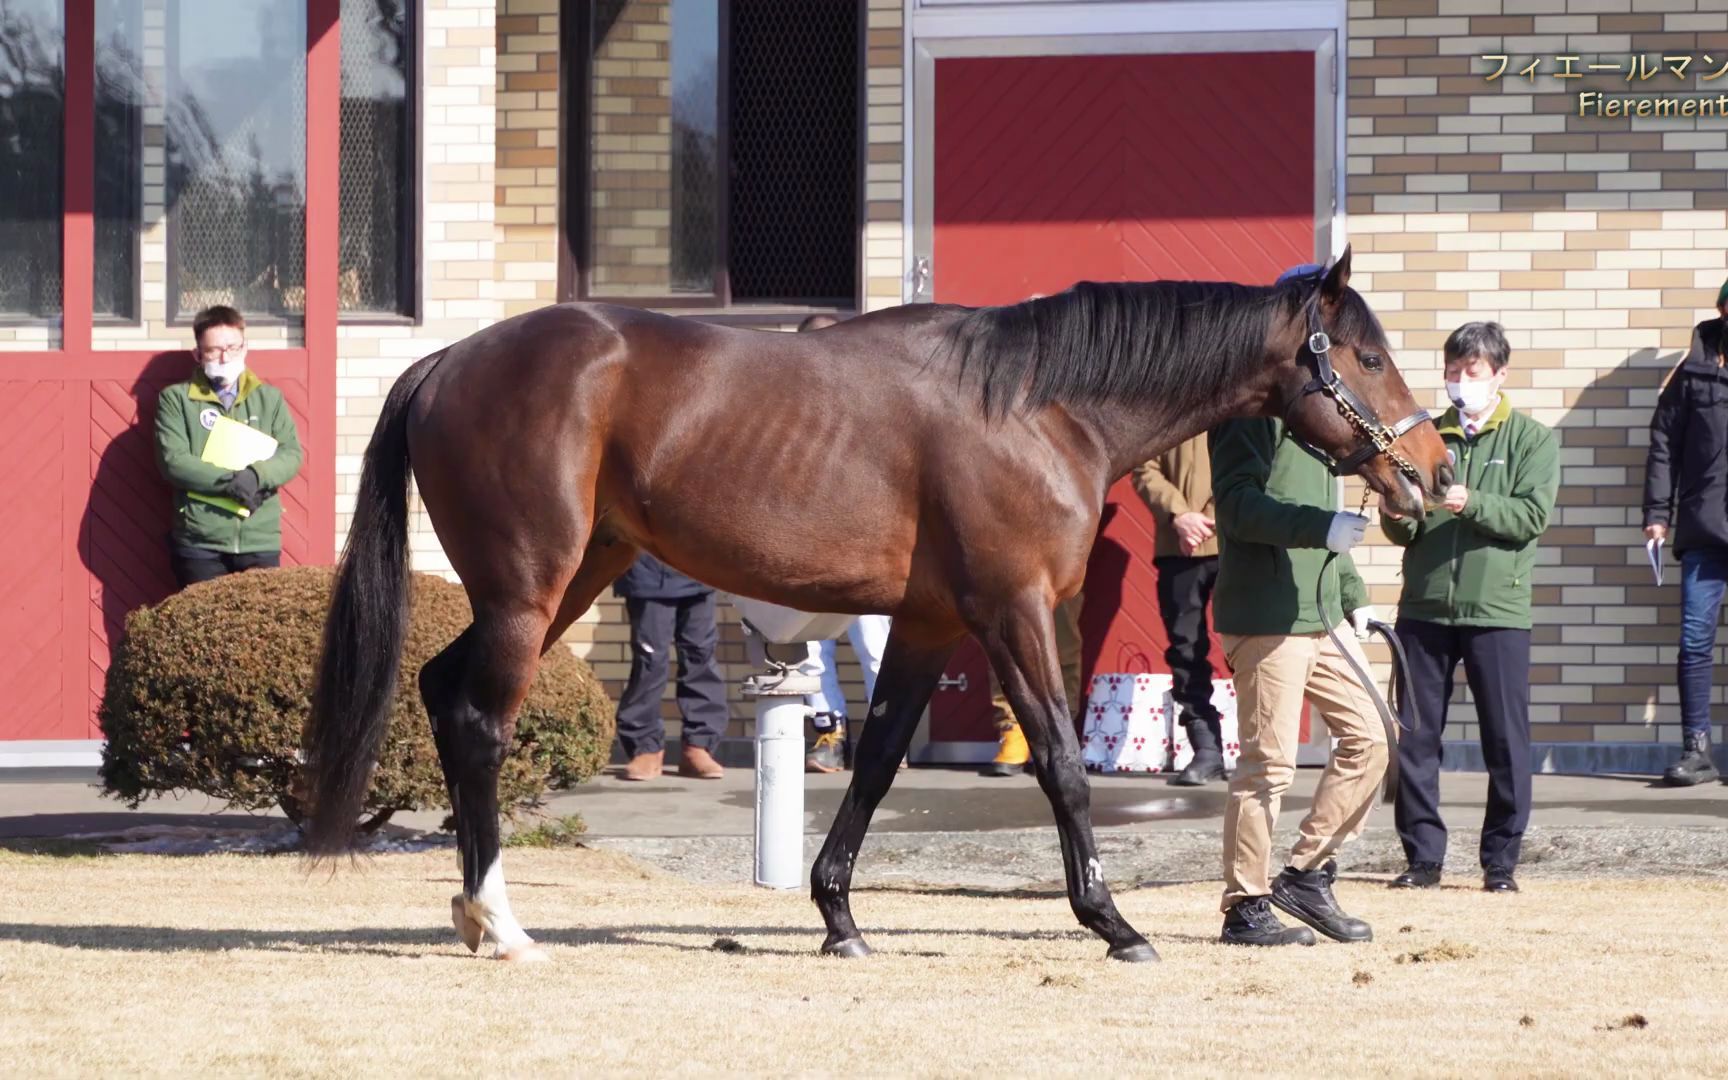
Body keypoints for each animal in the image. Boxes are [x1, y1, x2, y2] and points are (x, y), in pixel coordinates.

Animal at [304, 250, 1451, 960]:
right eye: (1366, 356)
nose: (1433, 475)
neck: (1039, 405)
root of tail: (446, 360)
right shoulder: (1011, 611)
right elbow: (1061, 762)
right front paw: (1113, 921)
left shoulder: (933, 622)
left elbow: (881, 759)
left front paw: (839, 916)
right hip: (527, 587)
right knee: (478, 718)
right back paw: (498, 921)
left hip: (571, 575)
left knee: (441, 690)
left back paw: (473, 911)